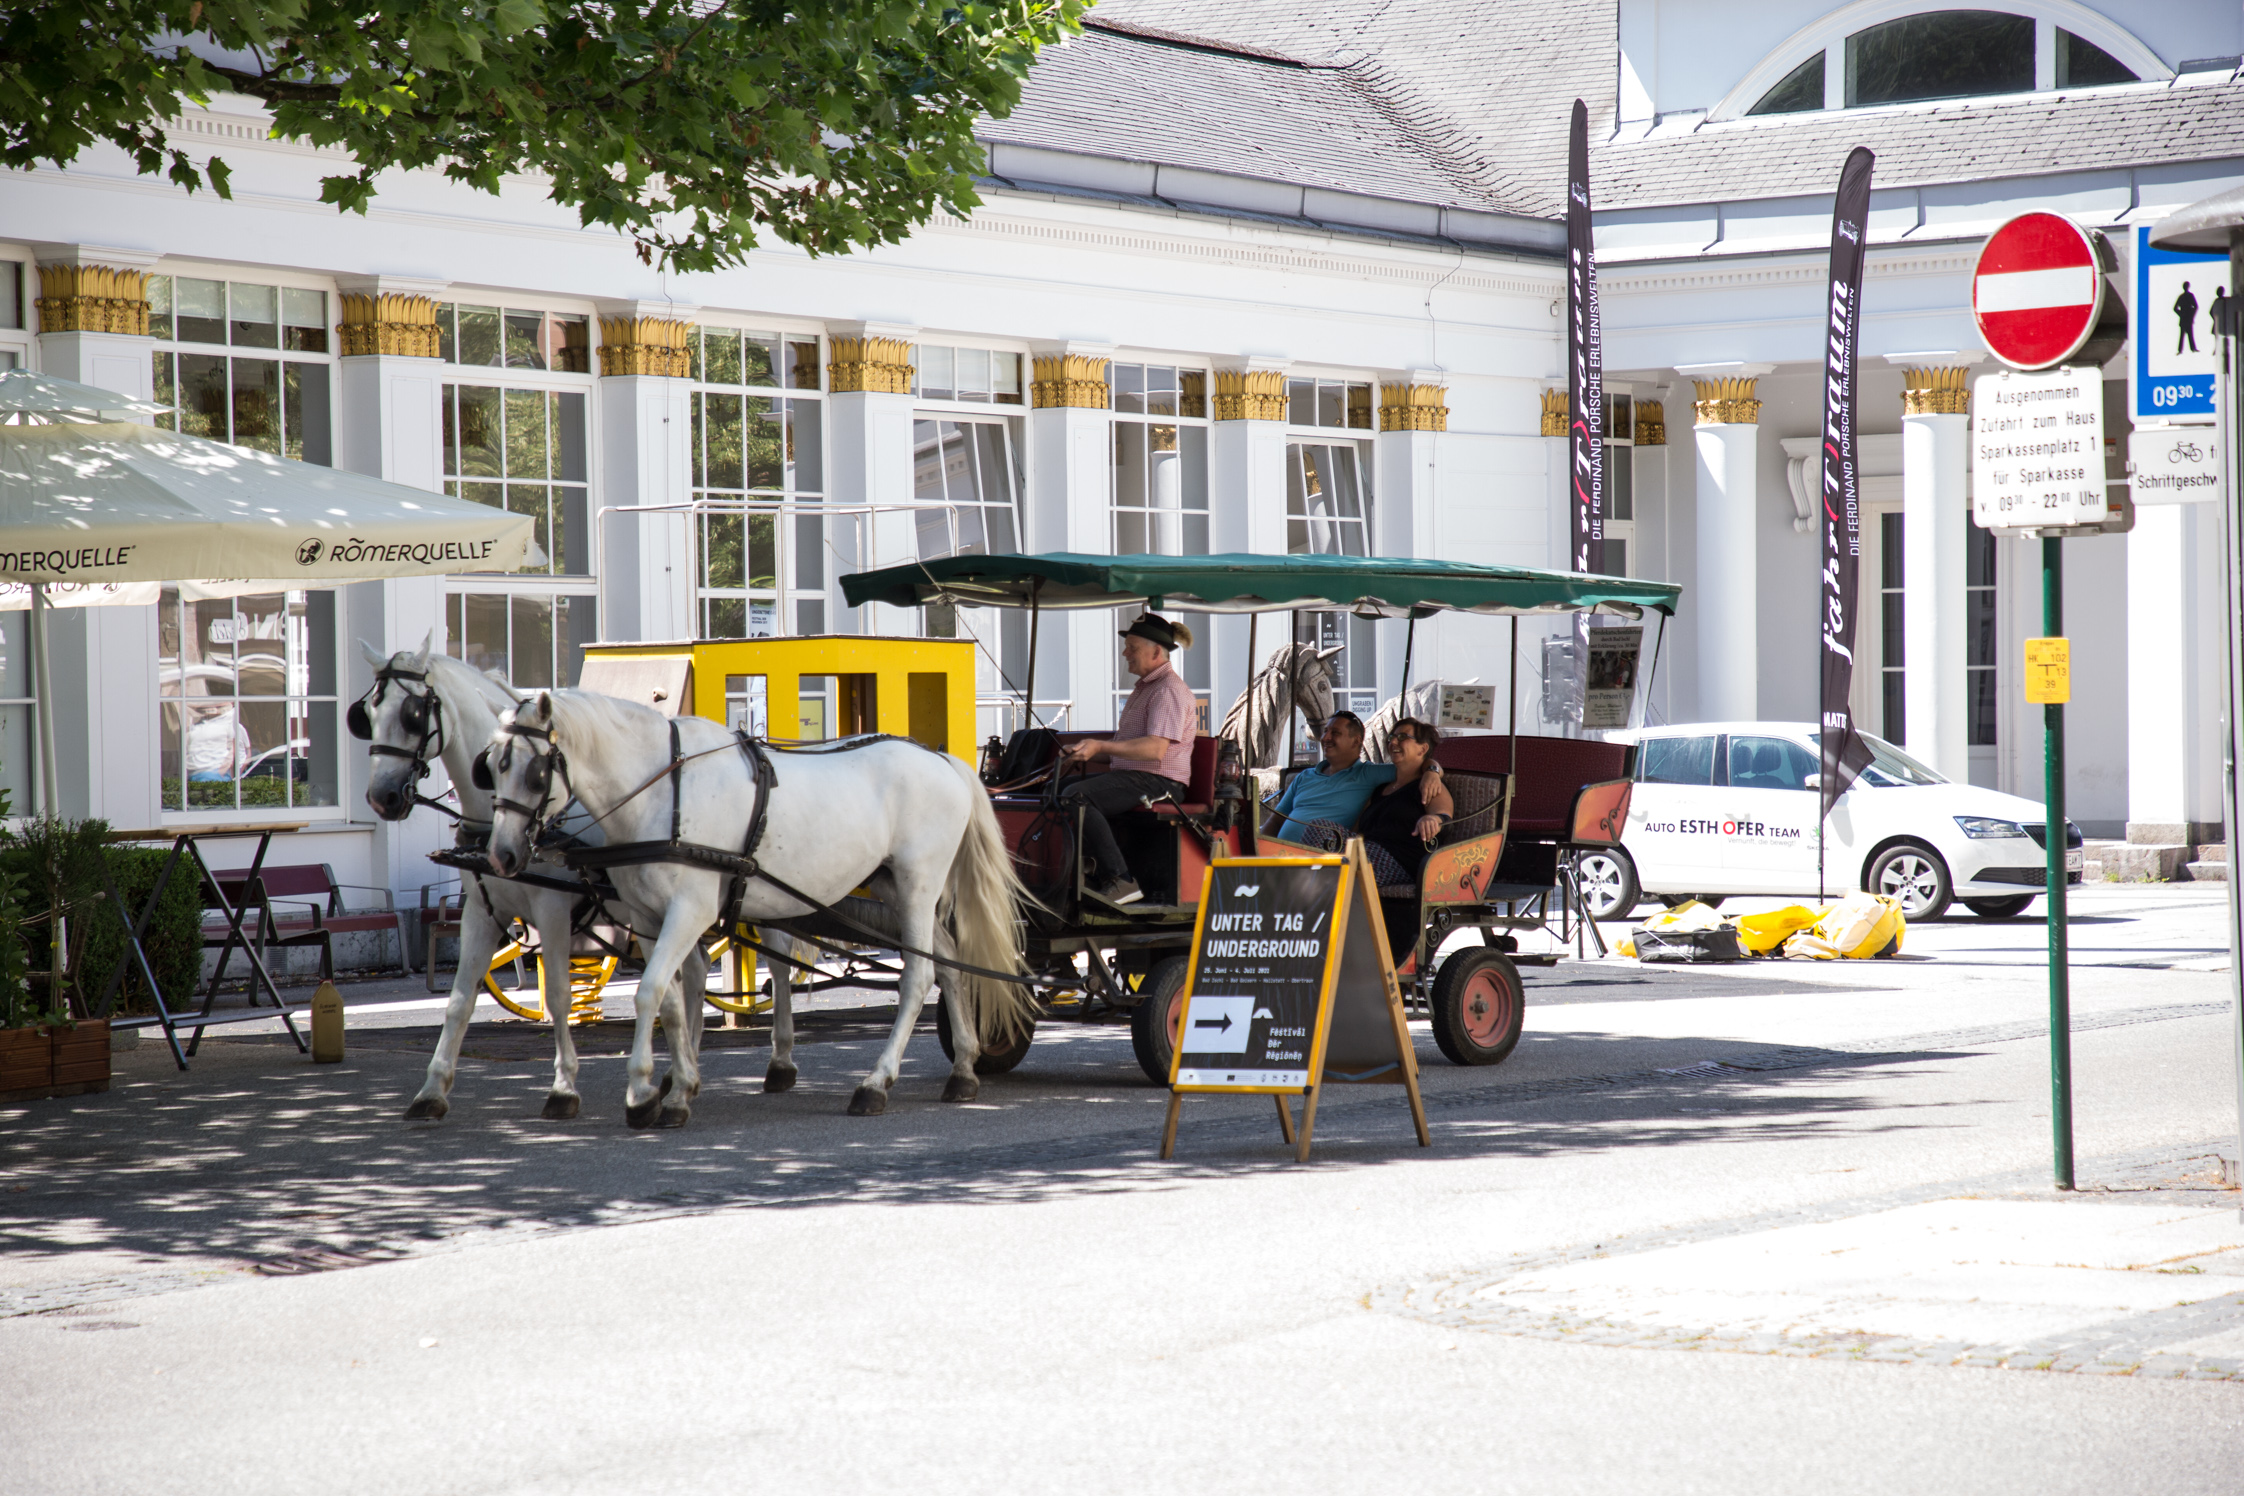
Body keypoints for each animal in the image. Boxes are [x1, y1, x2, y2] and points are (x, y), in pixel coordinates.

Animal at [350, 641, 709, 1121]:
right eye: (368, 712)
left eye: (413, 714)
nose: (382, 798)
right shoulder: (482, 911)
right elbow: (460, 1001)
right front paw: (432, 1090)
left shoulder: (552, 911)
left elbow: (557, 996)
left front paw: (563, 1088)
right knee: (694, 972)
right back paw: (683, 1073)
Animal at [482, 690, 1032, 1121]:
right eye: (491, 767)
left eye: (536, 772)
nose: (501, 855)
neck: (663, 793)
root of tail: (944, 761)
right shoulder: (648, 919)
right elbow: (672, 1001)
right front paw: (678, 1088)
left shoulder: (690, 911)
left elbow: (649, 992)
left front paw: (641, 1093)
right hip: (893, 887)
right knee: (949, 963)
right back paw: (963, 1070)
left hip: (919, 883)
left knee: (919, 976)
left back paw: (875, 1083)